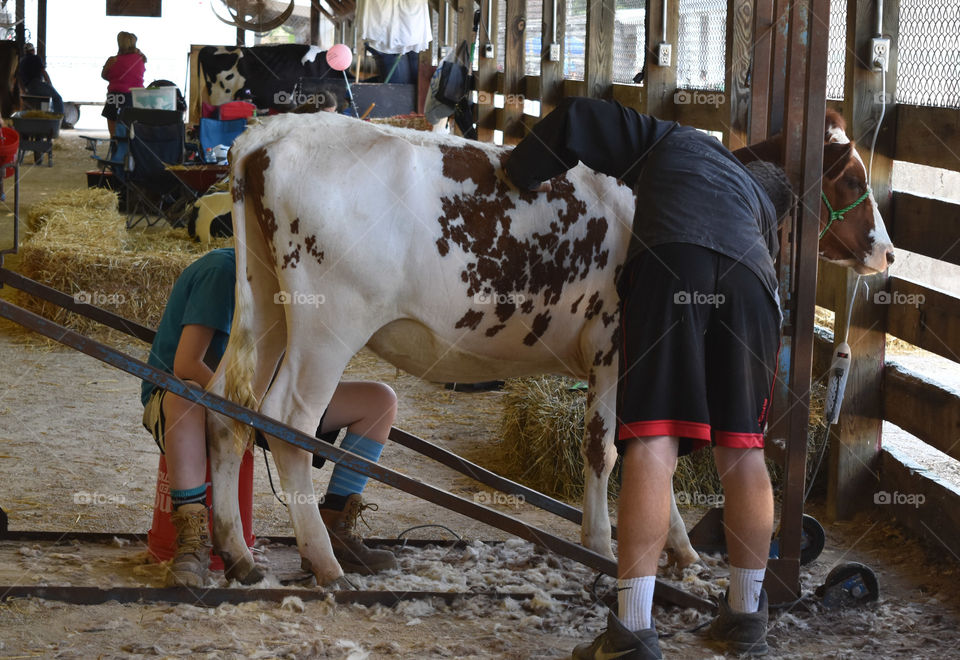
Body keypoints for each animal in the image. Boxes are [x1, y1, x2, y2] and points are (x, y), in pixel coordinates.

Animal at [204, 110, 893, 587]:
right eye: (853, 178)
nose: (888, 253)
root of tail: (272, 134)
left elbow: (636, 448)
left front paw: (667, 546)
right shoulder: (619, 346)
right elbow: (611, 450)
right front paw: (610, 545)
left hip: (263, 309)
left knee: (225, 407)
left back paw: (239, 554)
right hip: (330, 325)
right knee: (288, 422)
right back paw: (324, 562)